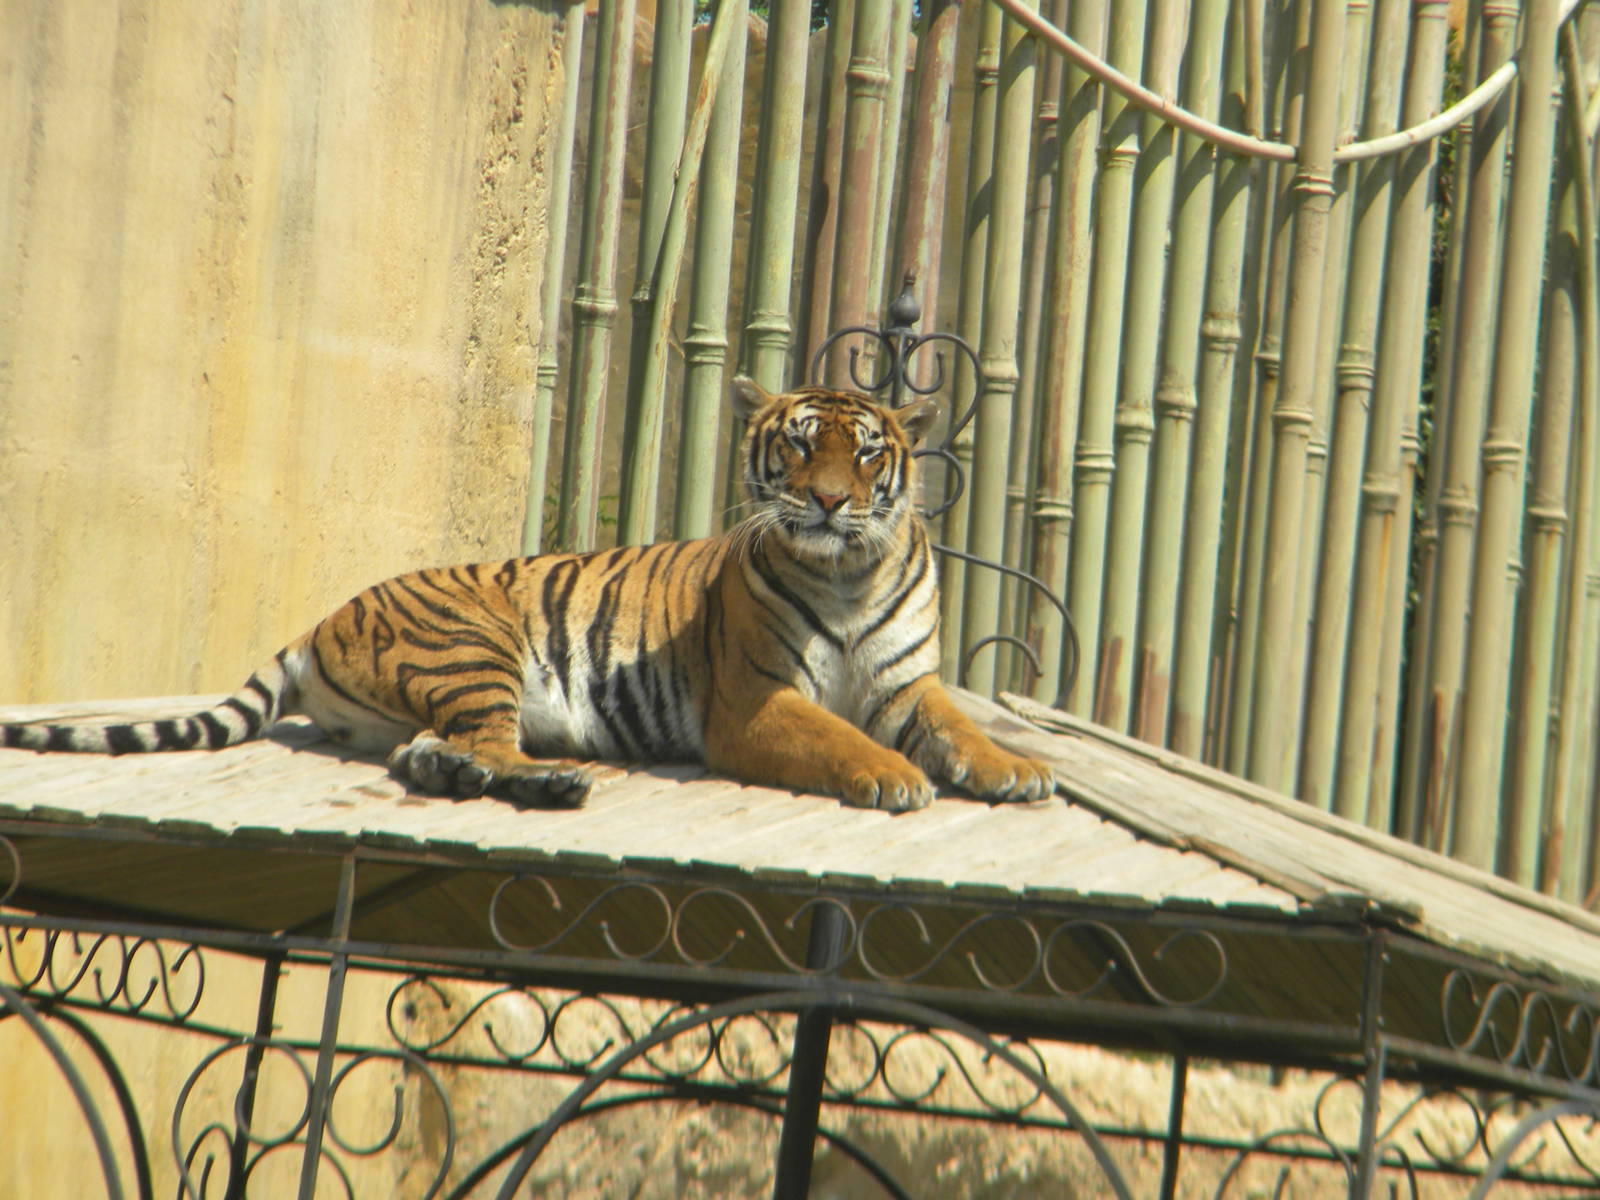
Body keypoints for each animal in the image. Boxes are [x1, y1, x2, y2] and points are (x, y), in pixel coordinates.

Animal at [2, 378, 1055, 813]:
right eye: (797, 446)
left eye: (867, 453)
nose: (831, 501)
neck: (846, 571)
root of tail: (322, 615)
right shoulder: (754, 700)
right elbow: (838, 738)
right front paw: (893, 777)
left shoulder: (906, 684)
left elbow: (959, 727)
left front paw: (1014, 769)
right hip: (476, 647)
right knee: (483, 743)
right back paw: (549, 783)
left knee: (436, 752)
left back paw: (485, 779)